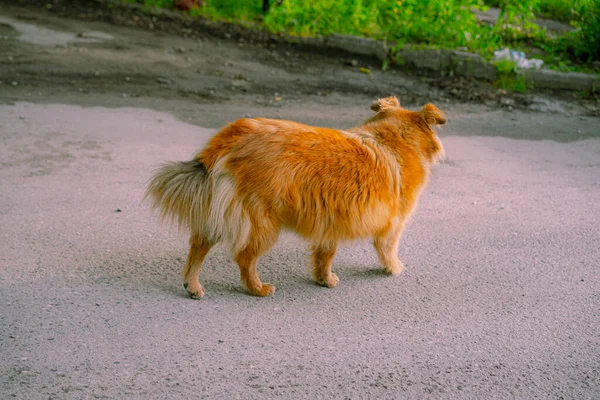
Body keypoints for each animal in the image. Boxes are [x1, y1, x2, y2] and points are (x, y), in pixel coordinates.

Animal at [145, 96, 446, 296]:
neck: (393, 138)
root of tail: (231, 136)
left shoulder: (331, 221)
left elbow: (325, 255)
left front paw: (324, 279)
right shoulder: (393, 226)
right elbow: (388, 250)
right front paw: (394, 268)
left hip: (222, 209)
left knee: (199, 245)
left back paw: (193, 285)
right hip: (262, 222)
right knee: (244, 257)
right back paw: (257, 288)